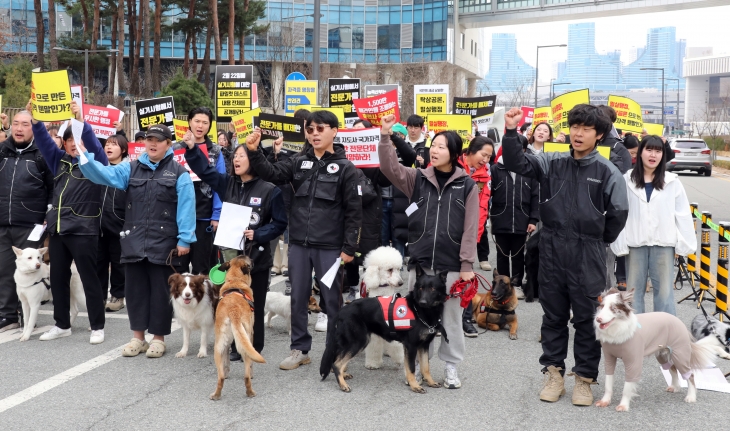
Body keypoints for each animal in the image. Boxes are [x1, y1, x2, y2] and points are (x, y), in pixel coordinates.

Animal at [209, 256, 266, 402]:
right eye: (249, 261)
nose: (252, 259)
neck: (235, 281)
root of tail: (233, 311)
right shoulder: (250, 334)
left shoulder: (227, 344)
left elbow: (227, 361)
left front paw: (227, 371)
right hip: (245, 343)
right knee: (246, 375)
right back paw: (250, 391)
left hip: (218, 347)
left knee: (221, 377)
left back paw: (216, 394)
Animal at [320, 264, 446, 394]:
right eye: (421, 288)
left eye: (433, 289)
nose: (423, 302)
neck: (420, 311)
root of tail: (342, 310)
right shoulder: (411, 347)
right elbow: (411, 368)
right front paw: (414, 385)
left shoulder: (424, 346)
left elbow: (426, 367)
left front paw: (430, 382)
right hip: (358, 342)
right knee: (336, 363)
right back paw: (342, 384)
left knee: (337, 359)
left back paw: (343, 375)